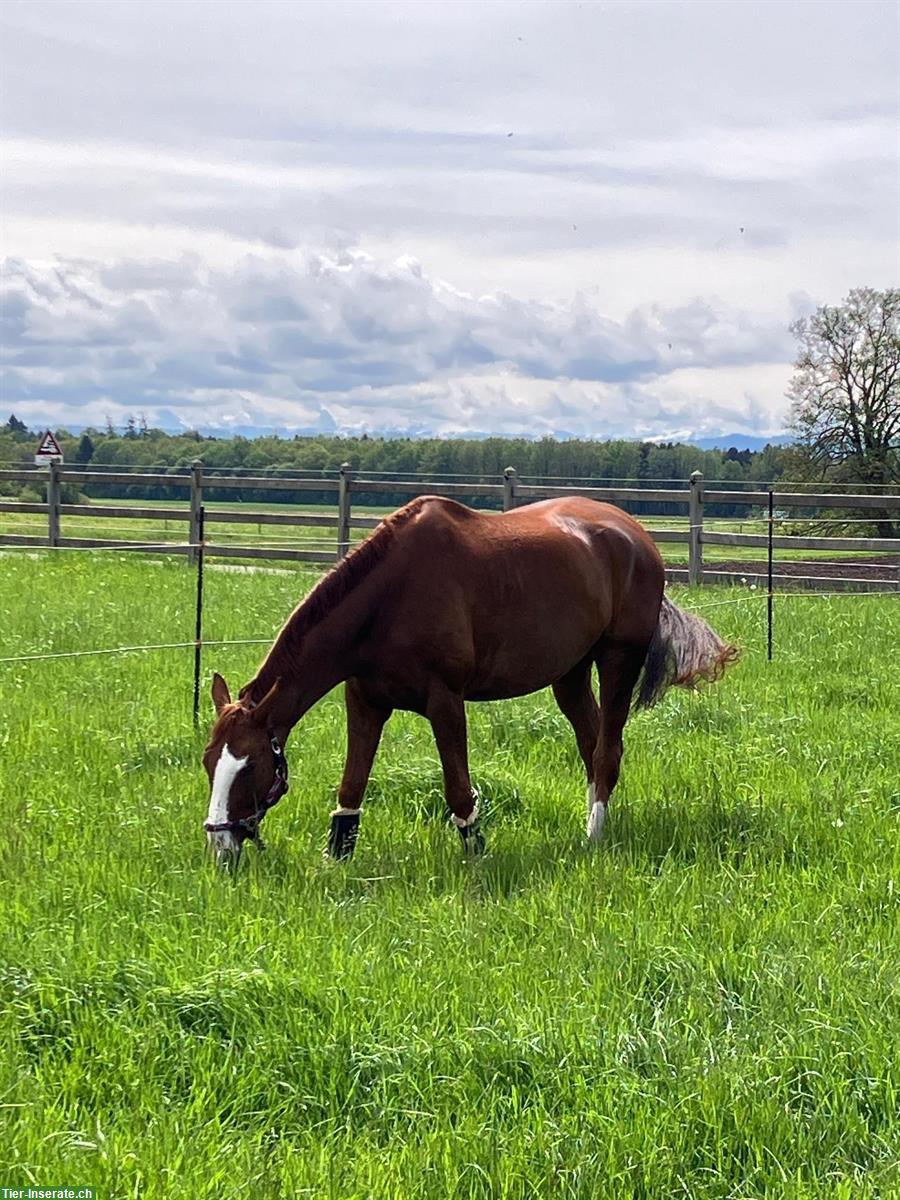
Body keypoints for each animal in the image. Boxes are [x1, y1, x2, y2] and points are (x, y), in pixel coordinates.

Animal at [204, 494, 739, 864]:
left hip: (616, 661)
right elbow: (351, 787)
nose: (221, 846)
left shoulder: (445, 701)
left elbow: (459, 790)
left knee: (607, 751)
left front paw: (476, 854)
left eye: (250, 767)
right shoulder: (365, 700)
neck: (390, 598)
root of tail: (637, 535)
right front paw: (337, 860)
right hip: (569, 674)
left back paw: (593, 837)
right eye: (210, 763)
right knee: (593, 748)